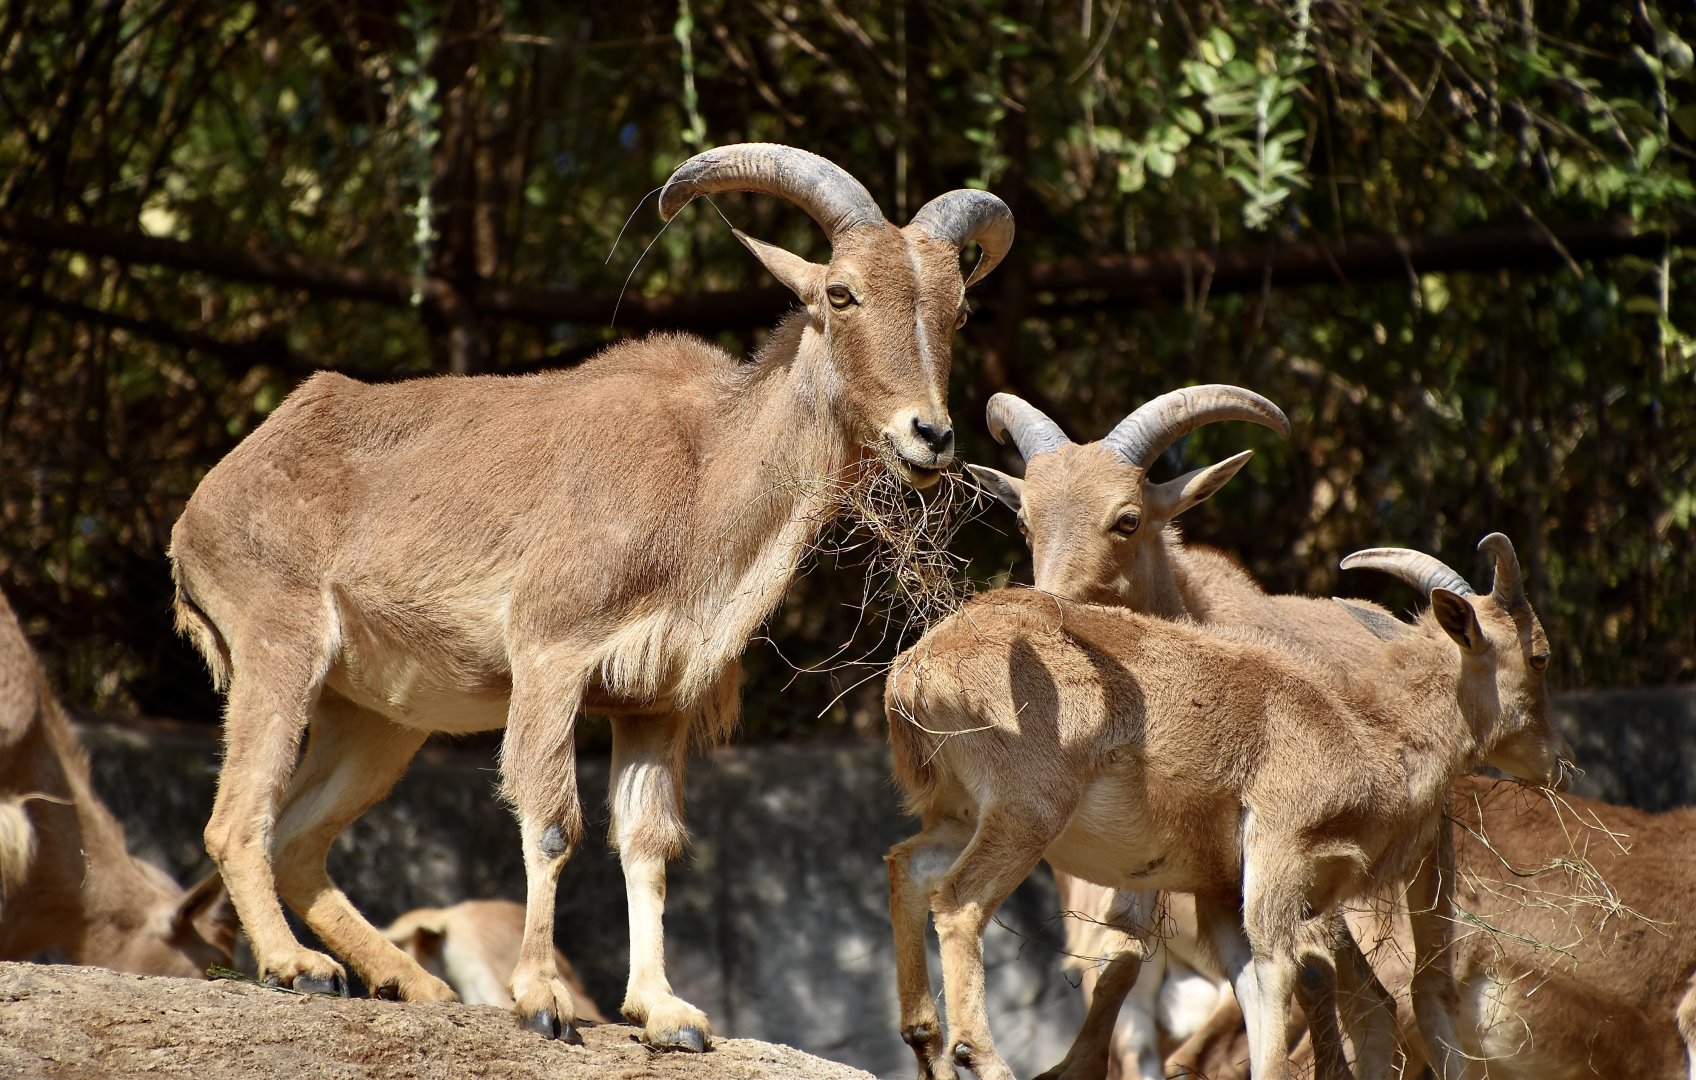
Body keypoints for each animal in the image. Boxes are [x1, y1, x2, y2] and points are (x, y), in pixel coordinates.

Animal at [168, 142, 1013, 1050]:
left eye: (960, 310)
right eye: (841, 292)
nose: (930, 435)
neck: (704, 470)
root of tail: (203, 504)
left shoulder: (655, 702)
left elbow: (646, 844)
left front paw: (665, 1012)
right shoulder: (551, 656)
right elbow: (551, 824)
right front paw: (542, 999)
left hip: (378, 719)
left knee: (298, 838)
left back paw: (414, 984)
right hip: (278, 647)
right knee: (238, 817)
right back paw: (297, 967)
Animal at [966, 390, 1567, 1079]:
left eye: (1128, 519)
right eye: (1025, 523)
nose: (1049, 612)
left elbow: (1309, 976)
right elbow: (1123, 954)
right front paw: (1073, 1065)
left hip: (1422, 859)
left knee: (1414, 990)